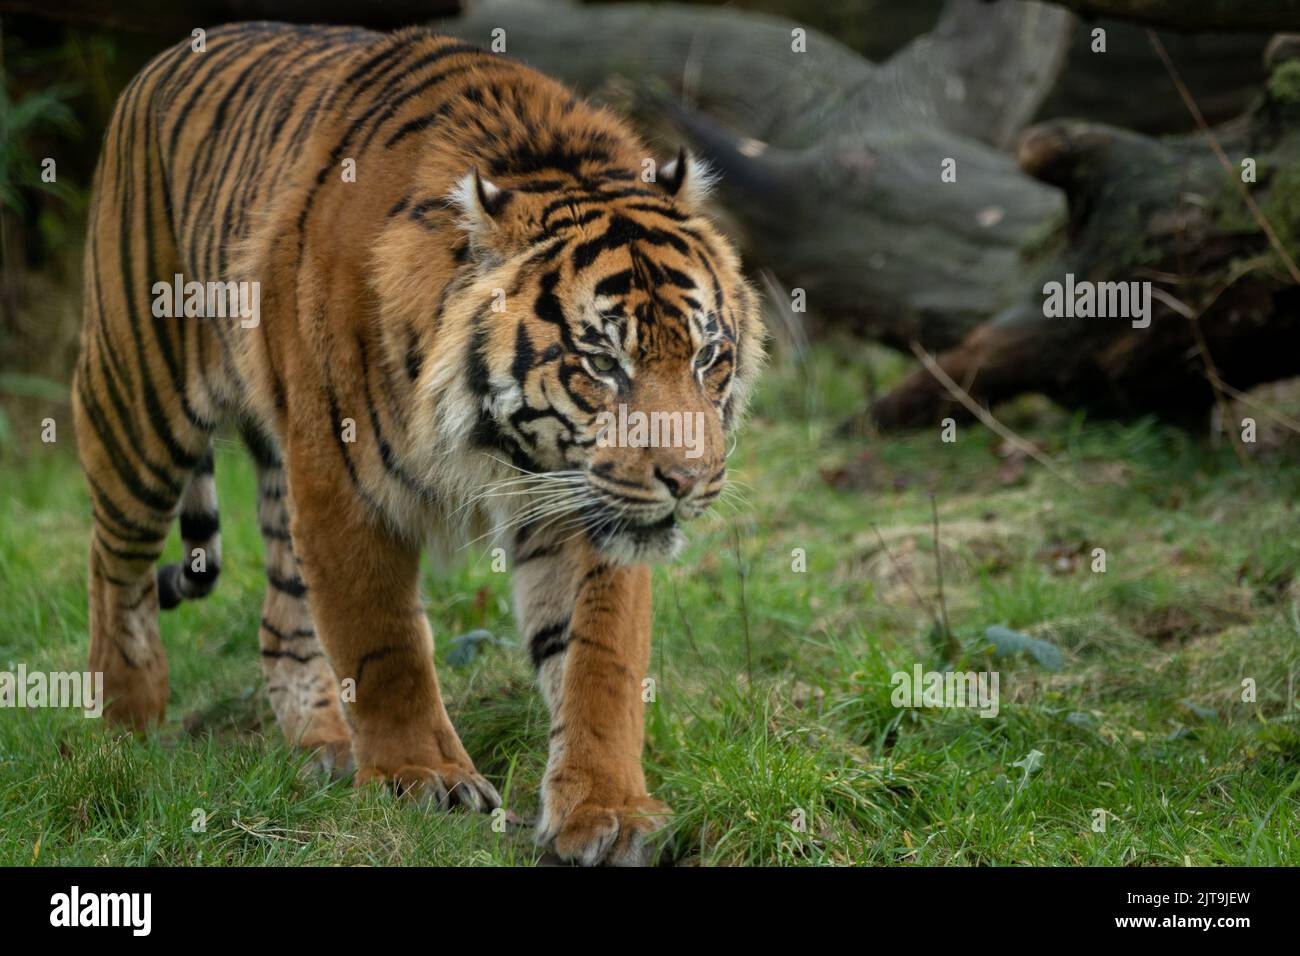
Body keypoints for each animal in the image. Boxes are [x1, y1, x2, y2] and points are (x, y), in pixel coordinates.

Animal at [73, 20, 759, 868]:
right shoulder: (340, 481)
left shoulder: (582, 501)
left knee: (280, 617)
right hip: (137, 398)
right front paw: (419, 780)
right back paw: (124, 730)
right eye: (603, 363)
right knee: (114, 563)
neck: (501, 447)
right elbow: (383, 642)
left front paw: (608, 810)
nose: (689, 480)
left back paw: (324, 746)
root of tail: (172, 54)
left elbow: (600, 662)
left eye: (707, 356)